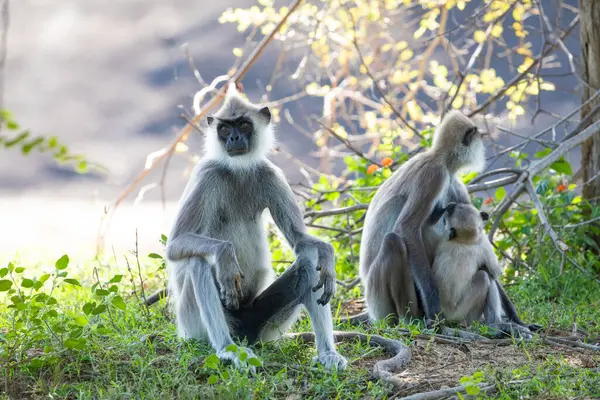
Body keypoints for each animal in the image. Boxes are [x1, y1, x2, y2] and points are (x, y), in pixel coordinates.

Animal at [166, 84, 350, 372]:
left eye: (243, 124)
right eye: (224, 129)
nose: (233, 138)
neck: (237, 171)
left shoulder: (270, 173)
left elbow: (301, 241)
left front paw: (327, 254)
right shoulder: (207, 173)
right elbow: (175, 244)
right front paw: (226, 255)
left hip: (261, 327)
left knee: (309, 262)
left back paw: (327, 353)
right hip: (192, 327)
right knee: (198, 262)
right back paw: (227, 350)